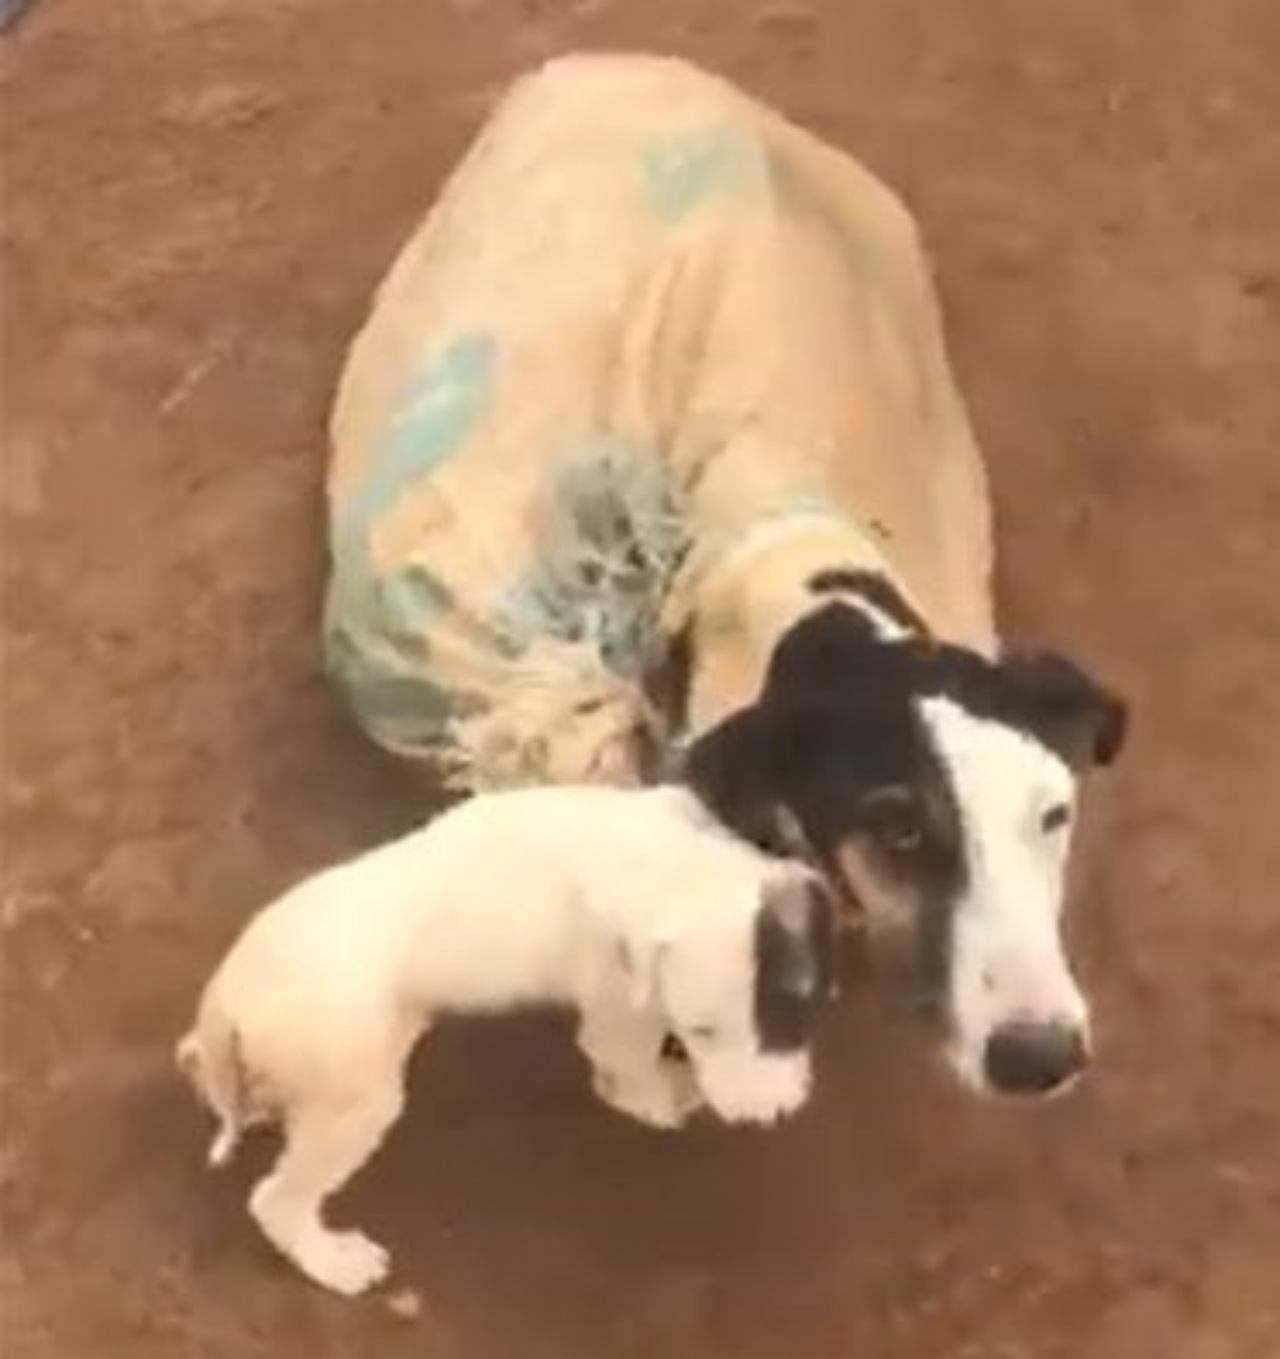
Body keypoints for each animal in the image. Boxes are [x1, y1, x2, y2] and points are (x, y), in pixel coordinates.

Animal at [183, 782, 842, 1288]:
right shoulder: (617, 1009)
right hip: (355, 1100)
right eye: (703, 1030)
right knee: (278, 1200)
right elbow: (631, 1070)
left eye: (790, 1014)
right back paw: (332, 1262)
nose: (765, 1118)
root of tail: (228, 1002)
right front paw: (661, 1099)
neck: (671, 866)